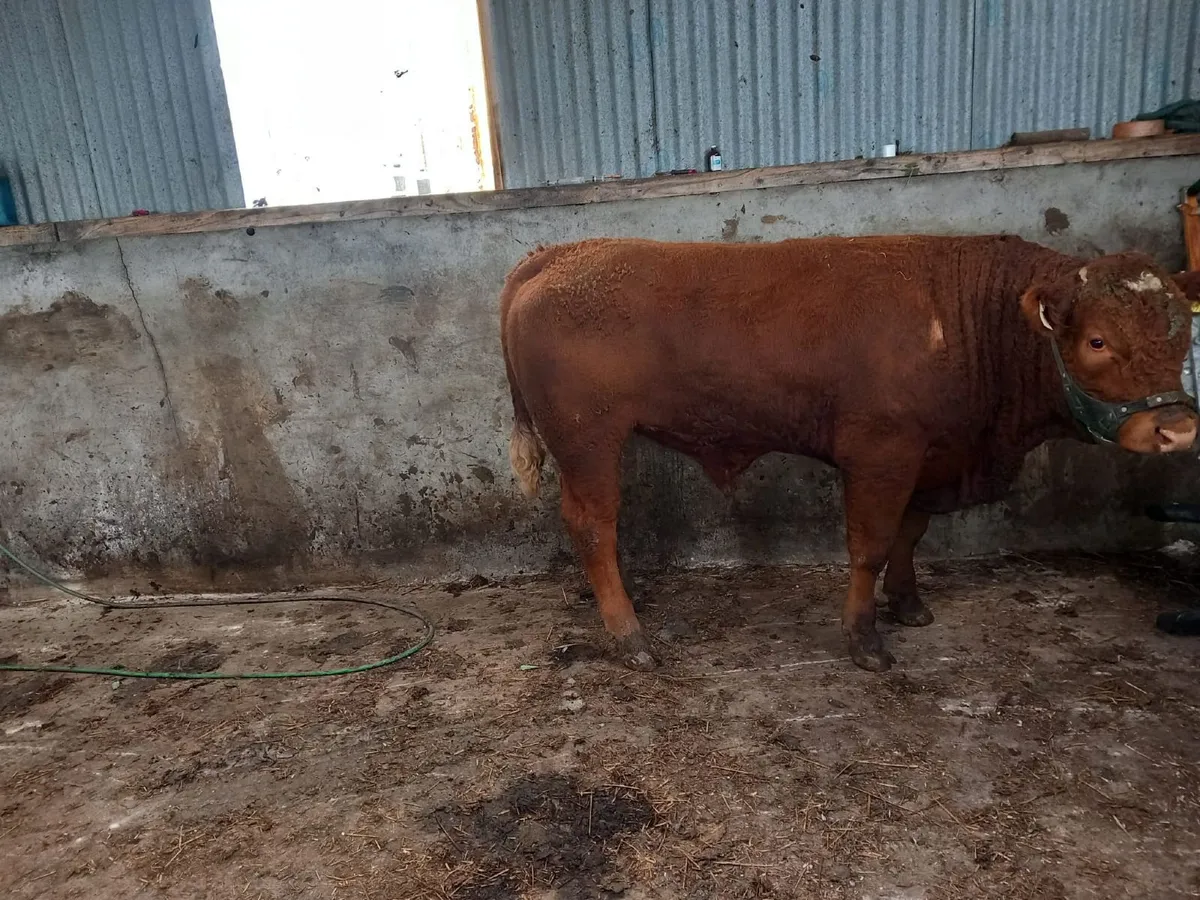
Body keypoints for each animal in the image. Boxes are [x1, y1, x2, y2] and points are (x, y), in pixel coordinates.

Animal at [499, 235, 1198, 673]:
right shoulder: (881, 454)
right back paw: (630, 636)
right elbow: (871, 545)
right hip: (588, 441)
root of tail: (558, 255)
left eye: (1183, 332)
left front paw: (909, 604)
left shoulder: (930, 457)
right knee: (594, 526)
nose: (1178, 429)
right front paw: (866, 638)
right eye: (1097, 340)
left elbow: (911, 535)